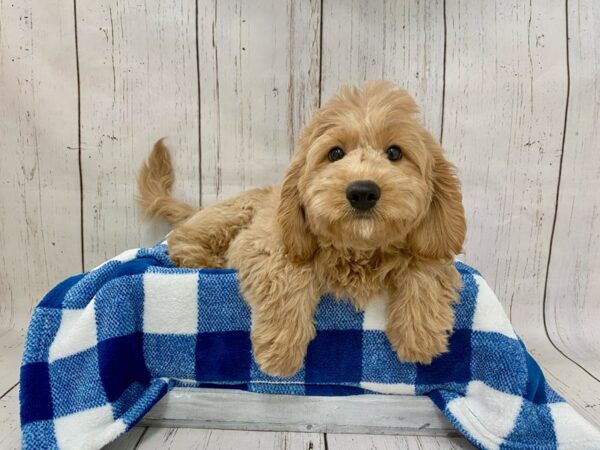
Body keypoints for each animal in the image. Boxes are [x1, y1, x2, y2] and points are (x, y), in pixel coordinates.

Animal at [138, 81, 466, 376]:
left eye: (395, 153)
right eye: (335, 153)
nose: (362, 192)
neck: (358, 251)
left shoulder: (429, 248)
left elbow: (427, 268)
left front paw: (420, 334)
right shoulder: (263, 243)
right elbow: (286, 276)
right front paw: (281, 351)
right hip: (232, 215)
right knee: (180, 239)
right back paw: (206, 261)